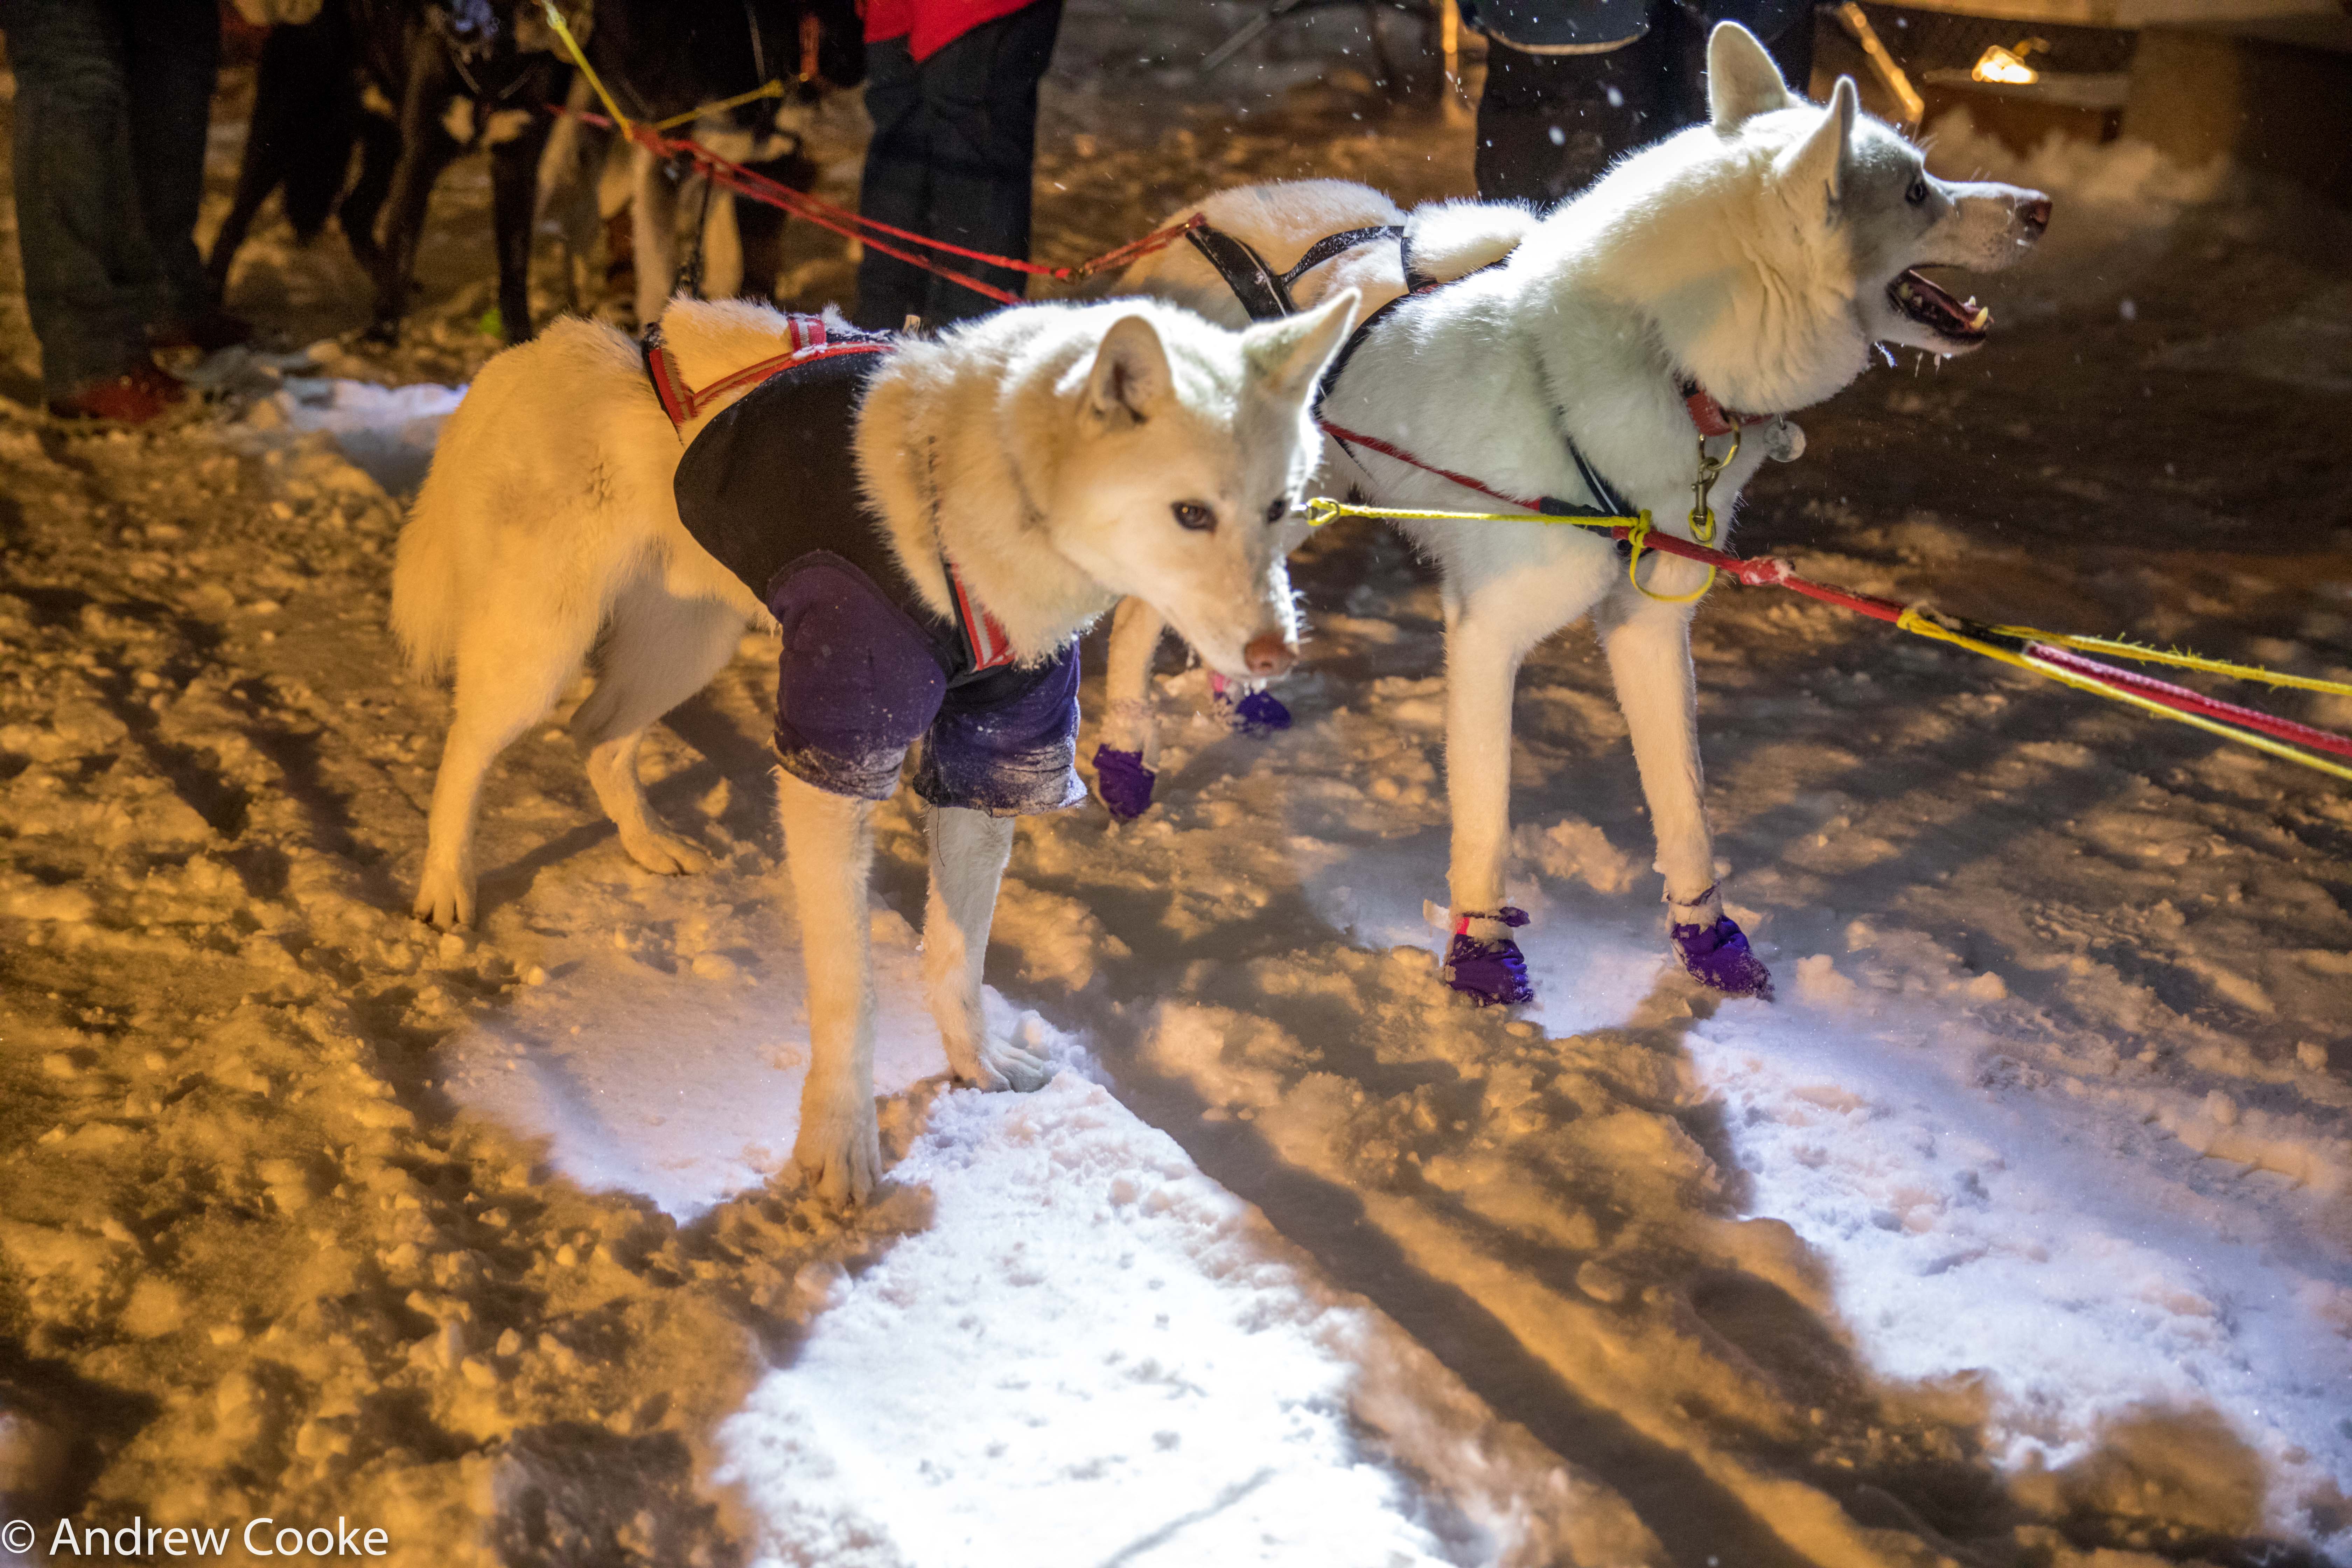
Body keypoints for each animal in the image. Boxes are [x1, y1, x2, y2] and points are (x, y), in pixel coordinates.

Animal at [391, 289, 1361, 1199]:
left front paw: (973, 1063)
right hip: (541, 651)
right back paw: (446, 882)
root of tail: (537, 354)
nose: (1278, 653)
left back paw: (646, 840)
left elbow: (959, 957)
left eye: (1281, 509)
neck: (966, 513)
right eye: (1191, 513)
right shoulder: (835, 759)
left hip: (687, 643)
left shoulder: (994, 762)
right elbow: (848, 993)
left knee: (597, 736)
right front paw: (839, 1143)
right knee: (469, 748)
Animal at [1117, 23, 2050, 1007]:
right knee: (1141, 609)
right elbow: (1486, 816)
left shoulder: (1650, 627)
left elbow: (1684, 807)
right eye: (1914, 191)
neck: (1664, 362)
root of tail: (1186, 227)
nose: (2040, 209)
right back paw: (1120, 756)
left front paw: (1707, 938)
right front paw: (1481, 951)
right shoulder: (1485, 636)